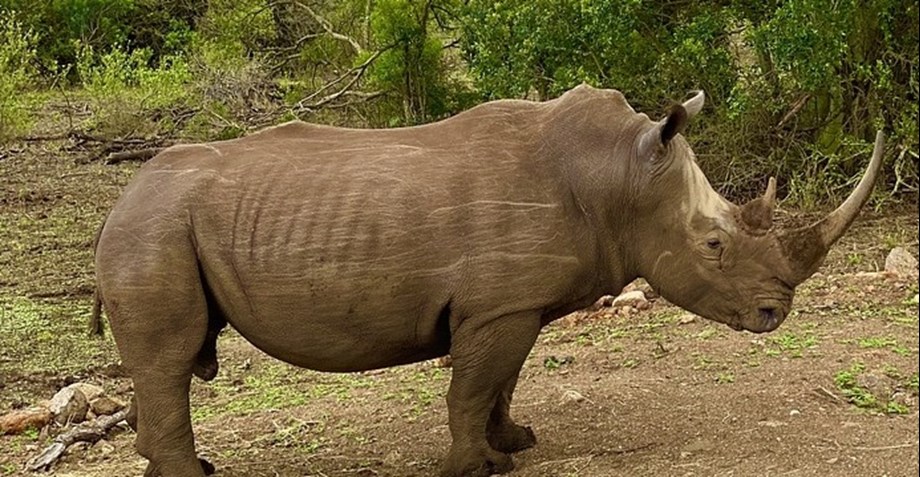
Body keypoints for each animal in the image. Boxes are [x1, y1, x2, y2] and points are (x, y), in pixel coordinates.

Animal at [91, 84, 883, 477]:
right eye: (714, 244)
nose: (775, 312)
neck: (618, 176)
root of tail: (120, 199)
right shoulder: (499, 305)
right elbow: (471, 386)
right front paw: (478, 468)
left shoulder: (517, 303)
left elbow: (504, 379)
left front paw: (518, 441)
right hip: (152, 229)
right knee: (170, 358)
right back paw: (193, 475)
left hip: (155, 225)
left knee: (164, 364)